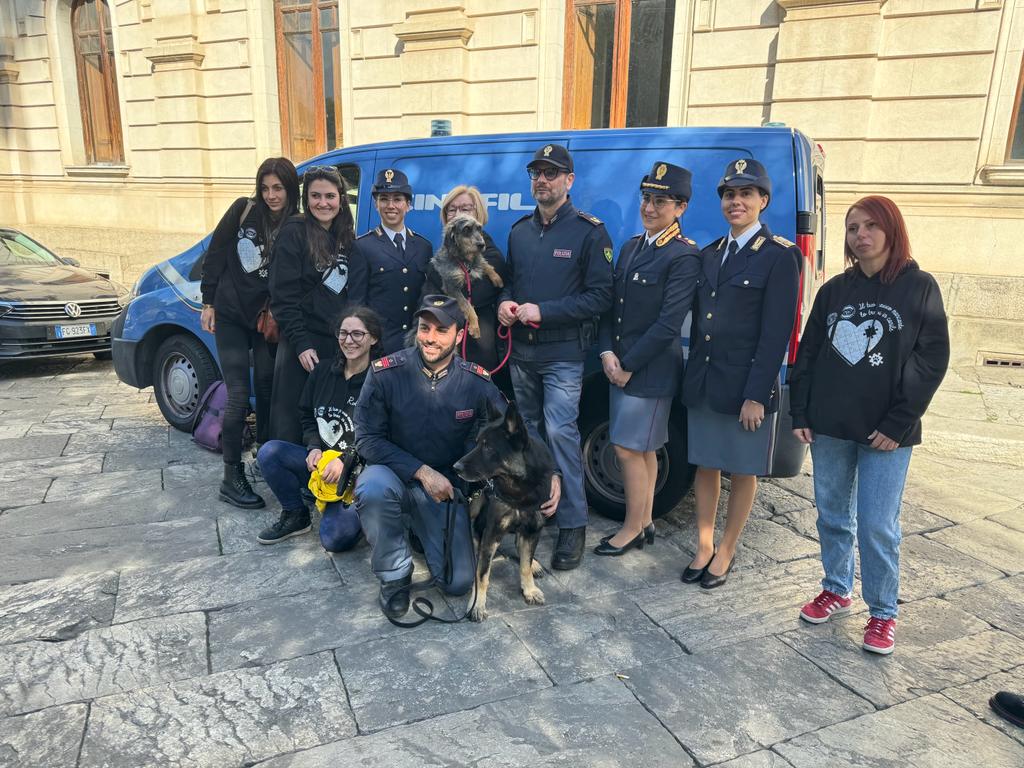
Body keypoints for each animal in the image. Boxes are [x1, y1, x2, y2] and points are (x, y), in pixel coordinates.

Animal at [454, 399, 557, 622]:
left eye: (487, 447)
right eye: (477, 443)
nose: (455, 467)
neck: (519, 488)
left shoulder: (533, 529)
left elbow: (525, 565)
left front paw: (529, 589)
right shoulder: (492, 533)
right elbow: (482, 574)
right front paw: (477, 604)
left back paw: (534, 563)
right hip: (475, 505)